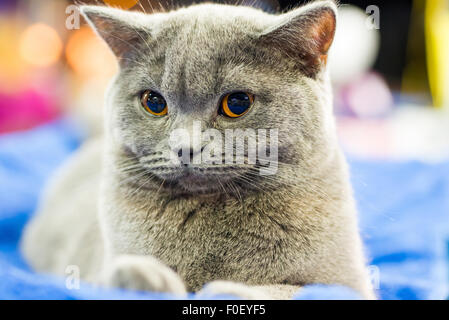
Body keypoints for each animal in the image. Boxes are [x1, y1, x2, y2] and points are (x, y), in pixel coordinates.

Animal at [21, 1, 374, 298]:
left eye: (237, 103)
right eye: (154, 102)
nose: (185, 148)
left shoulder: (348, 284)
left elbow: (287, 289)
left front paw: (224, 290)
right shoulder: (93, 265)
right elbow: (108, 275)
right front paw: (146, 277)